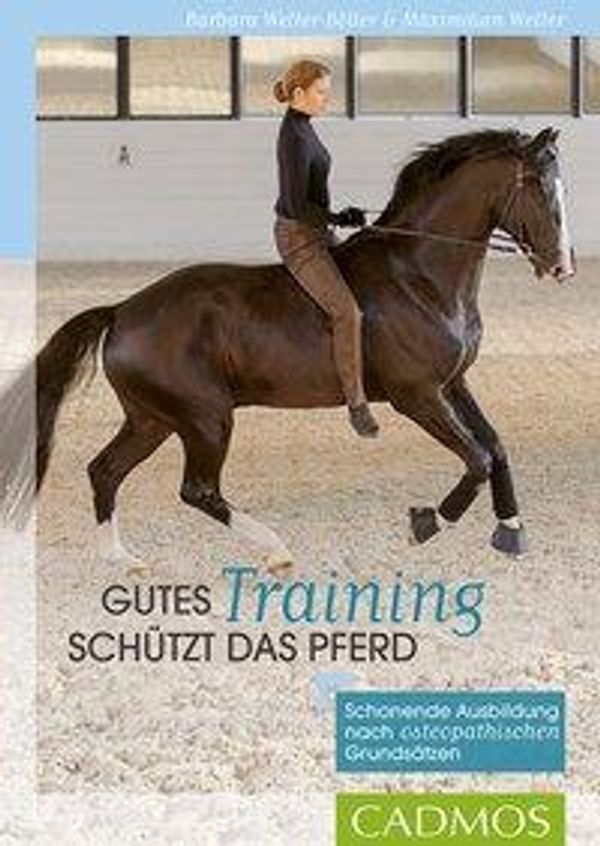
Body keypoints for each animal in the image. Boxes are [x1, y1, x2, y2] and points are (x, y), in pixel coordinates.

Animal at [0, 126, 575, 570]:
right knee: (197, 490)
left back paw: (123, 559)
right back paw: (275, 550)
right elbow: (476, 458)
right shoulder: (418, 395)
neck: (419, 274)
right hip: (205, 419)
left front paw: (511, 530)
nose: (562, 267)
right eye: (538, 188)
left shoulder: (453, 383)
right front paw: (428, 522)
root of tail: (122, 310)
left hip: (153, 419)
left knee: (106, 471)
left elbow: (495, 447)